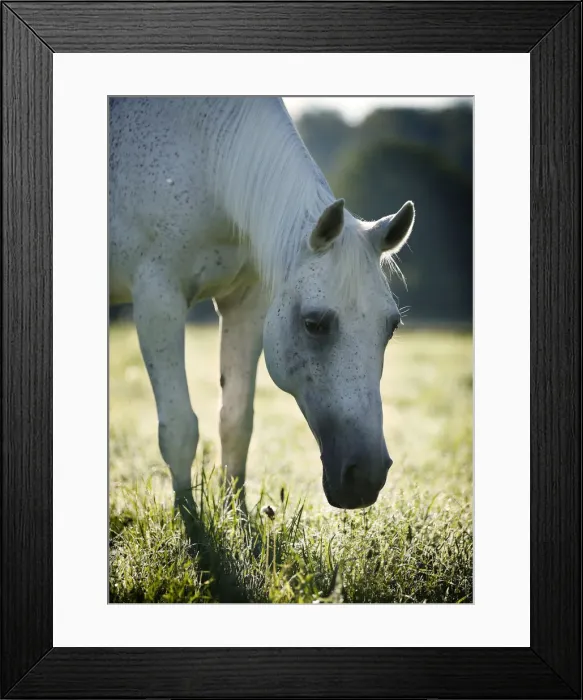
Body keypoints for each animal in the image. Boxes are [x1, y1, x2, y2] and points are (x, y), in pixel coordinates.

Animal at [108, 97, 415, 530]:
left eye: (391, 327)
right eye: (314, 324)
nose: (366, 476)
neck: (207, 155)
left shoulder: (247, 306)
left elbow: (237, 421)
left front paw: (236, 516)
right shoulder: (157, 298)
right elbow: (180, 426)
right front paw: (191, 525)